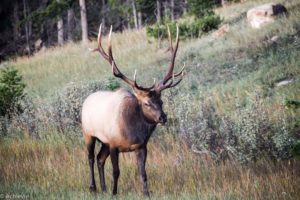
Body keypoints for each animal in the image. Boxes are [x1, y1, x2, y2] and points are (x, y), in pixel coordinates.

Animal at [82, 24, 184, 196]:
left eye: (161, 101)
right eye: (146, 103)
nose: (163, 117)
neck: (132, 131)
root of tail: (86, 100)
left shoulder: (141, 146)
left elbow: (143, 173)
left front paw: (146, 194)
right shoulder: (113, 144)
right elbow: (116, 171)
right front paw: (114, 193)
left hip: (104, 141)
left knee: (100, 159)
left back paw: (103, 188)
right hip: (88, 133)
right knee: (90, 158)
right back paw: (93, 187)